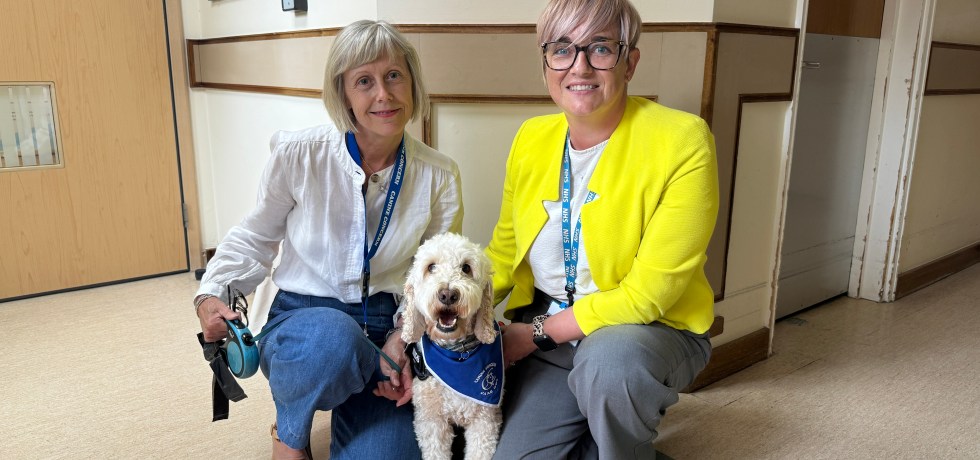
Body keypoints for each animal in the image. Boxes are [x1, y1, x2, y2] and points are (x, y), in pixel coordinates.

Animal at [401, 232, 502, 460]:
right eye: (431, 267)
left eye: (466, 268)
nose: (448, 294)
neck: (457, 354)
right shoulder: (431, 421)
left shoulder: (484, 420)